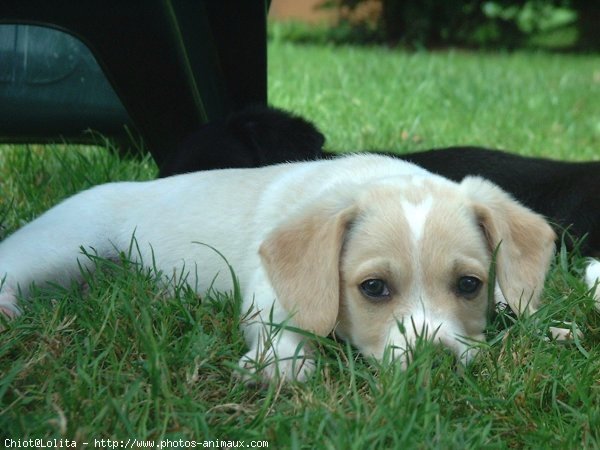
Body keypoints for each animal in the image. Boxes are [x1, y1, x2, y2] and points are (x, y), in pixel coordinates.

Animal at [0, 154, 556, 380]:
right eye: (374, 288)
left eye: (469, 284)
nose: (435, 364)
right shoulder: (265, 291)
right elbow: (280, 327)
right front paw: (281, 365)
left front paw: (552, 329)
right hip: (57, 248)